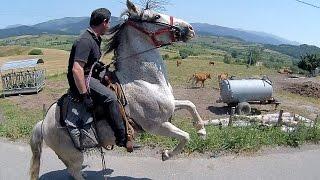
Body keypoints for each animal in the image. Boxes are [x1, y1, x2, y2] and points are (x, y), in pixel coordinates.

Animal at [28, 0, 206, 179]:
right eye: (156, 16)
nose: (190, 28)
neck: (144, 81)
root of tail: (43, 123)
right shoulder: (158, 126)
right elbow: (185, 136)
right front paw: (167, 154)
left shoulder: (171, 106)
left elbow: (190, 104)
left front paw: (201, 129)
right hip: (74, 155)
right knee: (75, 171)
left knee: (73, 172)